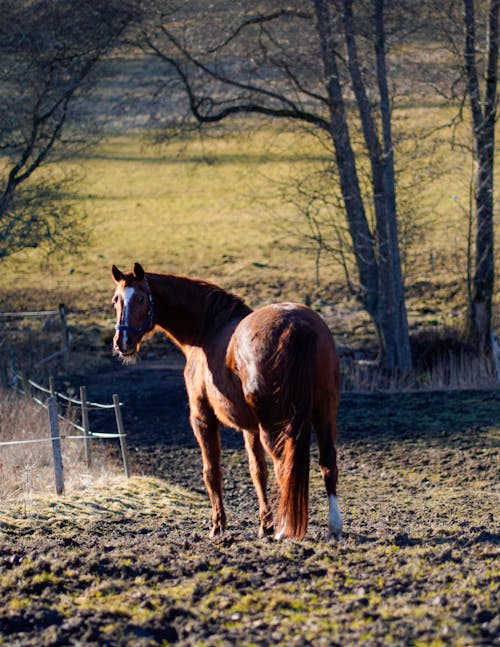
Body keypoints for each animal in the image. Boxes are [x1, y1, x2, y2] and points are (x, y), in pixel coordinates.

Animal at [111, 260, 342, 540]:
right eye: (115, 301)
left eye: (141, 298)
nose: (122, 342)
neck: (207, 331)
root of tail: (297, 326)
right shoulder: (250, 428)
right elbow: (258, 471)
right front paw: (264, 525)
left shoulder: (202, 418)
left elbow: (211, 471)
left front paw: (218, 525)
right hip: (323, 412)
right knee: (327, 462)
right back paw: (333, 526)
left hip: (276, 425)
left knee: (284, 466)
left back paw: (284, 530)